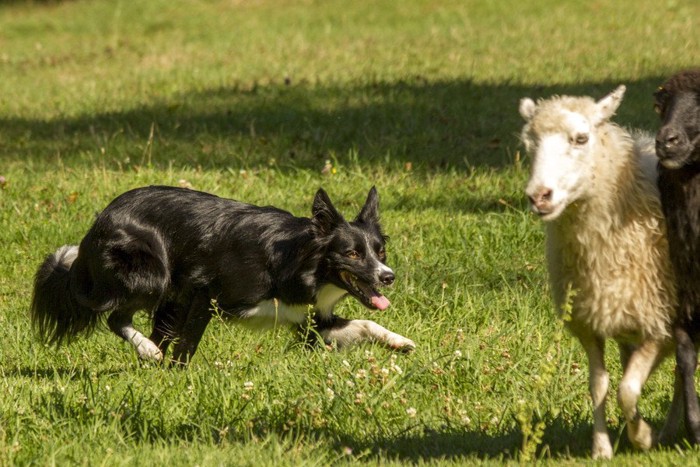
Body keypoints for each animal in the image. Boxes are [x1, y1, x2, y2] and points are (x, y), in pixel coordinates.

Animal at [31, 185, 416, 364]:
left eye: (380, 252)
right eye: (352, 254)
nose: (388, 276)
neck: (299, 263)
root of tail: (98, 223)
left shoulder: (312, 322)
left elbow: (366, 324)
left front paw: (399, 342)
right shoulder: (205, 294)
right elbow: (187, 346)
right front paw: (177, 378)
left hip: (168, 297)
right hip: (152, 277)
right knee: (117, 318)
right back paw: (149, 353)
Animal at [524, 85, 680, 460]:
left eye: (581, 138)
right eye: (529, 142)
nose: (539, 196)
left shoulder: (659, 320)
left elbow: (628, 389)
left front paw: (642, 437)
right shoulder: (589, 321)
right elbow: (599, 385)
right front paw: (602, 448)